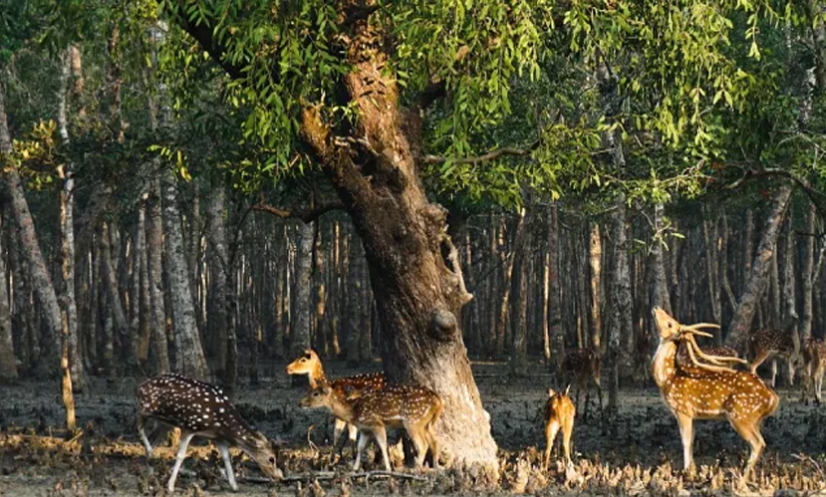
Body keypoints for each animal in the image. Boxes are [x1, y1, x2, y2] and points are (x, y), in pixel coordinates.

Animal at [137, 373, 283, 492]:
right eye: (271, 459)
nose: (278, 477)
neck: (222, 424)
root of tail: (141, 385)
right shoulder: (189, 426)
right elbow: (180, 455)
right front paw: (170, 486)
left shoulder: (217, 436)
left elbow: (226, 456)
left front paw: (234, 486)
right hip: (145, 409)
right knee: (138, 428)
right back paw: (151, 456)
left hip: (163, 423)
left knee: (152, 438)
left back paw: (151, 475)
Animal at [299, 383, 443, 471]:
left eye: (315, 393)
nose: (300, 403)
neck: (354, 412)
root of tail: (439, 401)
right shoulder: (365, 430)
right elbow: (360, 447)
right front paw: (354, 468)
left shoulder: (376, 424)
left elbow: (383, 445)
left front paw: (388, 468)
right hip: (427, 423)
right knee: (435, 441)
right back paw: (437, 466)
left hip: (412, 420)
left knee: (423, 444)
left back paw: (416, 468)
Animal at [651, 308, 779, 481]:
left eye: (670, 323)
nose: (656, 308)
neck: (668, 379)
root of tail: (774, 398)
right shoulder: (692, 415)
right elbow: (692, 440)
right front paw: (692, 471)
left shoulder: (683, 409)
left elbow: (685, 441)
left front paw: (686, 473)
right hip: (755, 419)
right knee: (761, 442)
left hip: (740, 415)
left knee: (758, 443)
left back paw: (742, 478)